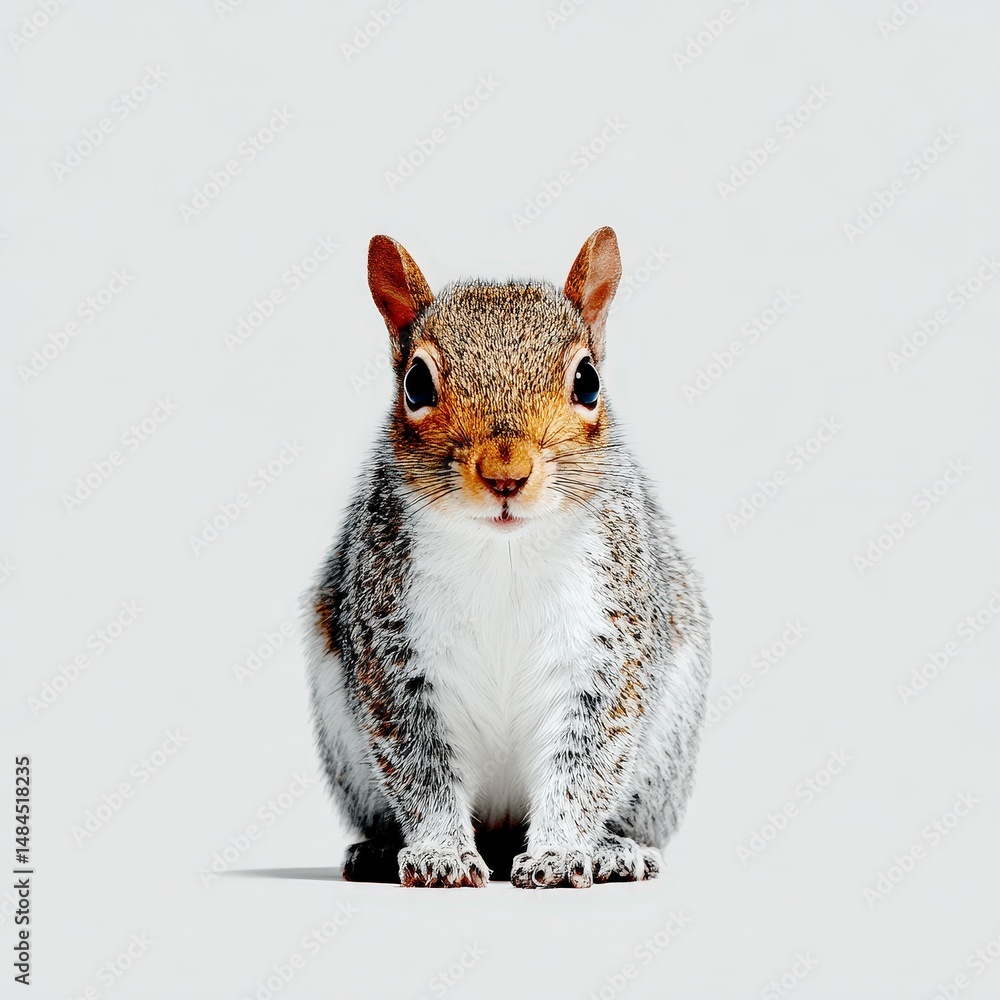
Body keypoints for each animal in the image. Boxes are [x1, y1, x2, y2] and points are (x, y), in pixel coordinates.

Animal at [305, 227, 711, 888]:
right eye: (416, 384)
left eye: (588, 381)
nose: (506, 474)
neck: (506, 551)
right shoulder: (393, 647)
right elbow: (419, 766)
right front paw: (440, 854)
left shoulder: (608, 643)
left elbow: (586, 763)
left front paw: (560, 853)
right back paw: (383, 850)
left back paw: (613, 851)